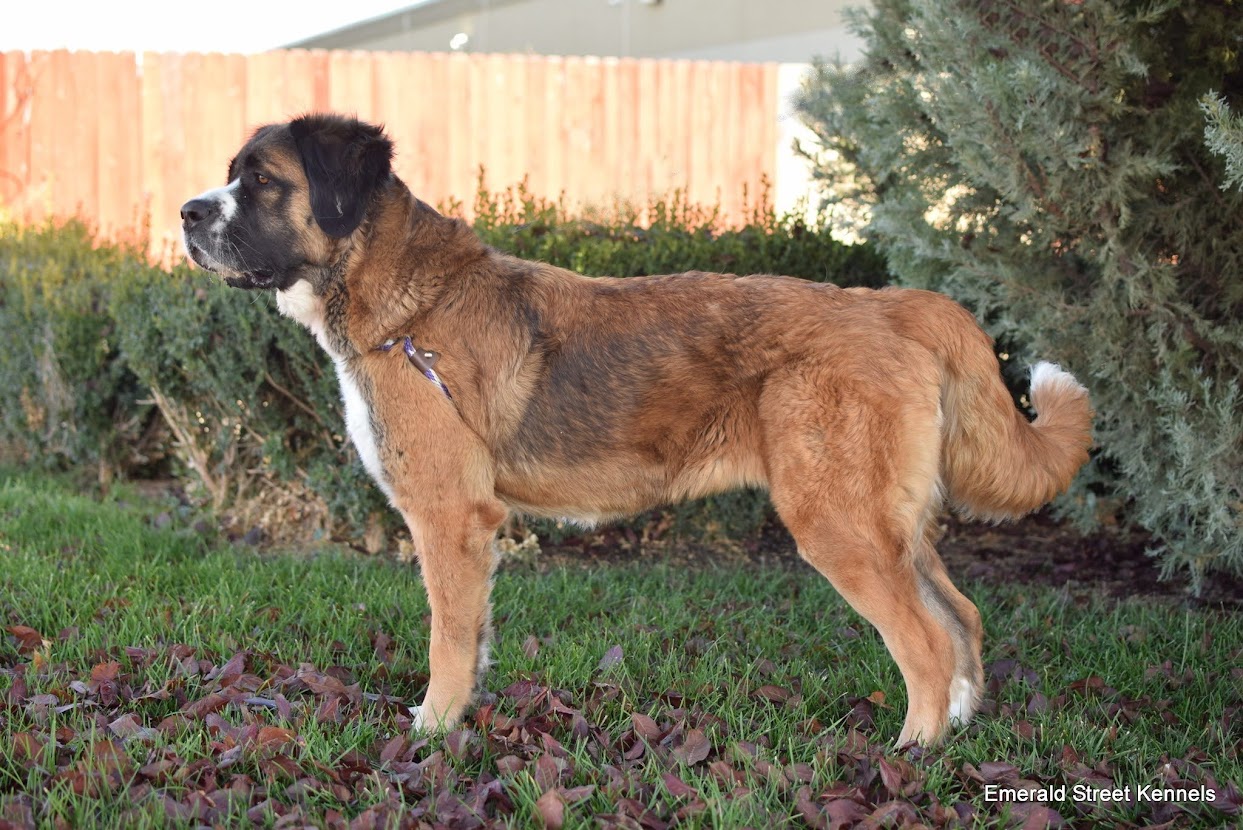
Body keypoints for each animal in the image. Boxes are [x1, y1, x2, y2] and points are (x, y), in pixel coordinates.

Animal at [180, 113, 1093, 744]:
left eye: (260, 181)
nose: (188, 213)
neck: (407, 305)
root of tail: (894, 306)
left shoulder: (449, 521)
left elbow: (447, 639)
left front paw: (434, 732)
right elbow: (472, 637)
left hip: (840, 526)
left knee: (927, 643)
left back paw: (911, 755)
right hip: (890, 524)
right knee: (961, 617)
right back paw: (959, 729)